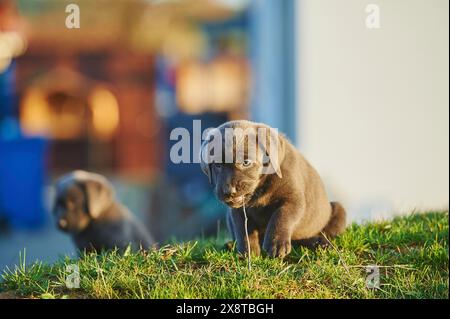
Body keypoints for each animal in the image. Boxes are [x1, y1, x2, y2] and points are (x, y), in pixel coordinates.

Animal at [201, 121, 348, 258]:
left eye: (246, 162)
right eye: (217, 165)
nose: (229, 191)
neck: (260, 188)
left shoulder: (293, 200)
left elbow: (281, 215)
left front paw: (276, 244)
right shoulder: (237, 212)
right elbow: (243, 230)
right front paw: (248, 253)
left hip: (337, 211)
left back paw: (318, 242)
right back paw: (230, 245)